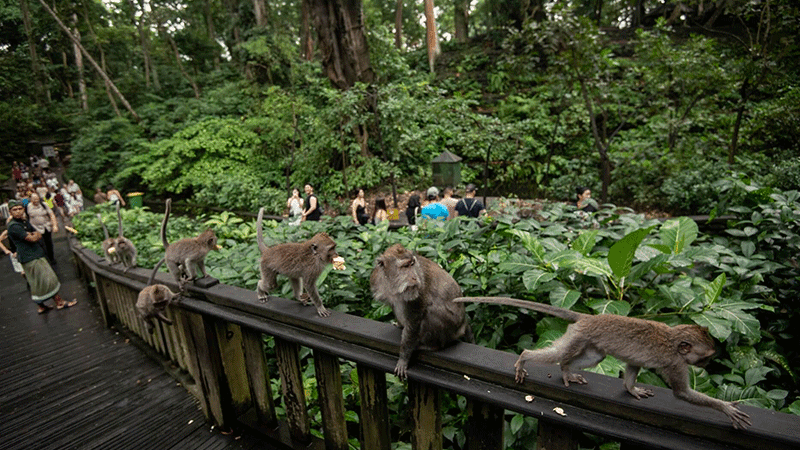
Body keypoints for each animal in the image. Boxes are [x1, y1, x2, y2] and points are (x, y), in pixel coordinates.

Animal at [370, 244, 474, 379]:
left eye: (412, 264)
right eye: (405, 266)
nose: (415, 277)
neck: (391, 284)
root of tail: (463, 324)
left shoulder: (418, 294)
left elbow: (414, 322)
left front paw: (403, 359)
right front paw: (399, 324)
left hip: (451, 328)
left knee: (430, 313)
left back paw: (431, 346)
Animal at [452, 296, 752, 430]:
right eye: (706, 357)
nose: (707, 366)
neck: (673, 340)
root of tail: (589, 317)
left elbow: (632, 368)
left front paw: (632, 389)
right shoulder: (675, 363)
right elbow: (682, 393)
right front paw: (726, 408)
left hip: (586, 340)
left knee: (594, 358)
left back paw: (566, 371)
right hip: (578, 336)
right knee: (557, 355)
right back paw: (526, 358)